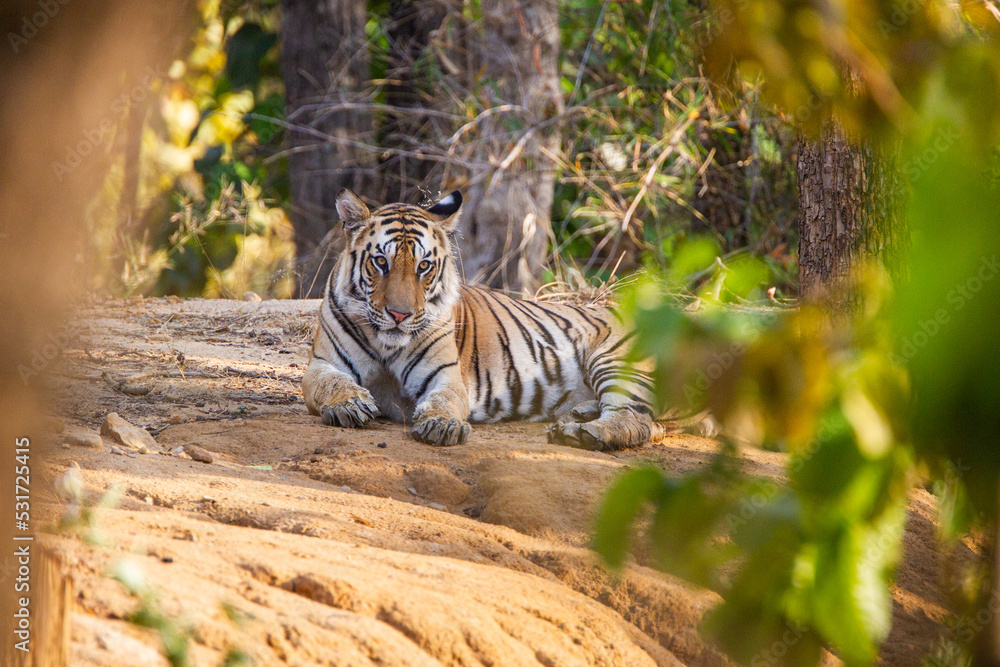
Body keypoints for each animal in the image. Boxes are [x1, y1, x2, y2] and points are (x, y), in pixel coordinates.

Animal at [302, 189, 669, 450]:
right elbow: (331, 383)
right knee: (651, 422)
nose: (399, 314)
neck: (387, 344)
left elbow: (444, 400)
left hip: (616, 362)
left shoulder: (446, 376)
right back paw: (577, 416)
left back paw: (583, 434)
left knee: (636, 419)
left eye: (424, 266)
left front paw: (442, 425)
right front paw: (348, 405)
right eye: (381, 262)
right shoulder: (322, 364)